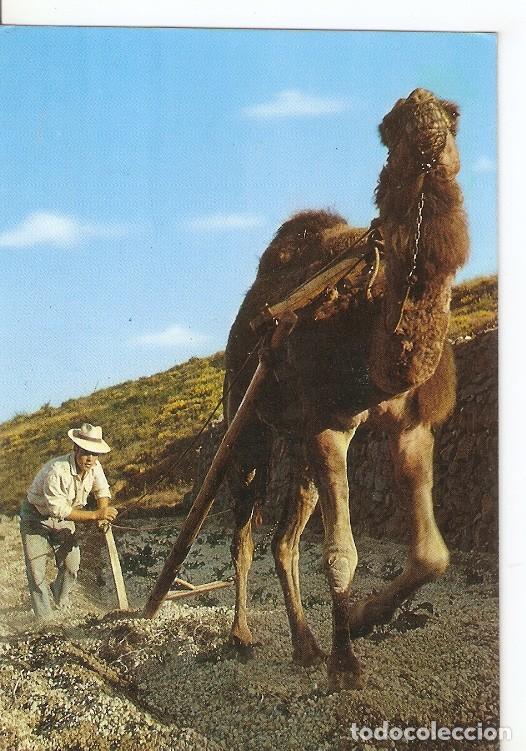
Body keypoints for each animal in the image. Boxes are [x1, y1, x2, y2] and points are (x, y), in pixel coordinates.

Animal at [223, 88, 469, 690]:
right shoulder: (329, 423)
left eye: (452, 117)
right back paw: (242, 635)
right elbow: (341, 553)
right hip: (249, 419)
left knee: (283, 538)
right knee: (244, 526)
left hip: (297, 441)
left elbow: (433, 555)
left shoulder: (410, 423)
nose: (427, 130)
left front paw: (358, 621)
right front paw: (346, 666)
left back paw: (305, 644)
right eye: (391, 128)